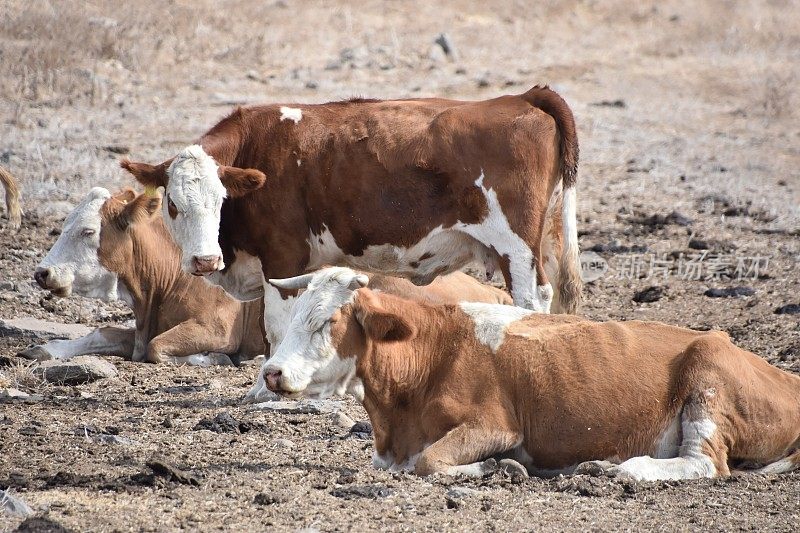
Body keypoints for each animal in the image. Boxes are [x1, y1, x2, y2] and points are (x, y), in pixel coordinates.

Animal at [21, 187, 266, 366]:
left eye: (88, 231)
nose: (42, 273)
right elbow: (102, 333)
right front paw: (46, 348)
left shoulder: (218, 328)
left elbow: (155, 347)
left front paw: (215, 357)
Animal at [262, 268, 800, 480]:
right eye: (294, 314)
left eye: (326, 322)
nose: (271, 372)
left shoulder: (497, 424)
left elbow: (430, 461)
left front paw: (496, 467)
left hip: (707, 379)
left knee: (704, 463)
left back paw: (625, 468)